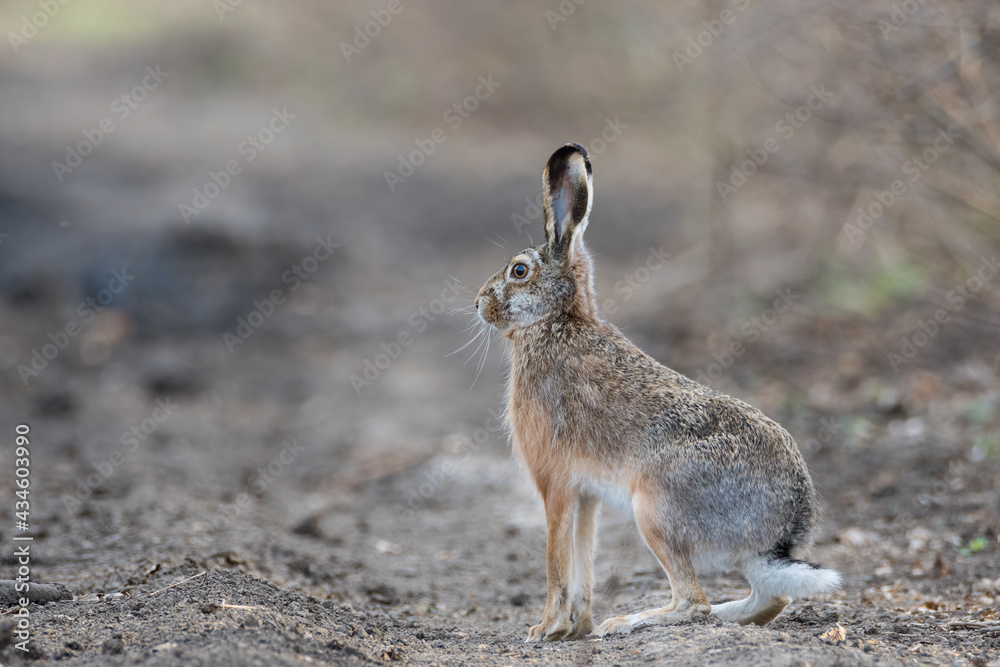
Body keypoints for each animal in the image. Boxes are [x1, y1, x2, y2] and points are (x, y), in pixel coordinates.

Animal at [474, 142, 841, 642]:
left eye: (519, 270)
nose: (478, 302)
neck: (554, 321)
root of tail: (780, 533)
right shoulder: (585, 495)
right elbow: (583, 557)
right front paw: (576, 628)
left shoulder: (555, 483)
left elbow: (556, 562)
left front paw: (545, 630)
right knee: (768, 598)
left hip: (655, 508)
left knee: (693, 601)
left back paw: (629, 622)